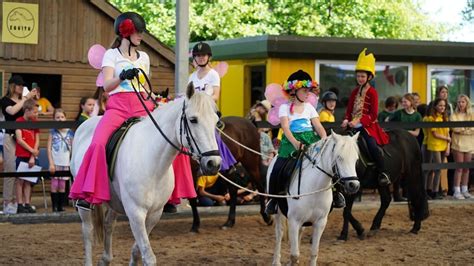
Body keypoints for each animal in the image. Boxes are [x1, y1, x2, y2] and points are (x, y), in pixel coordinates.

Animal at [69, 84, 221, 264]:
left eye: (216, 121)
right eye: (193, 120)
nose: (214, 163)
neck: (153, 163)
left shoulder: (154, 214)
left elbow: (137, 250)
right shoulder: (136, 213)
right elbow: (148, 257)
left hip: (114, 201)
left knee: (108, 225)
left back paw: (105, 259)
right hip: (84, 202)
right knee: (88, 231)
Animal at [270, 132, 360, 264]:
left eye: (356, 159)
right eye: (339, 157)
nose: (354, 185)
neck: (314, 188)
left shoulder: (320, 222)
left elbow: (314, 252)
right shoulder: (293, 221)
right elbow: (294, 255)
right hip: (278, 213)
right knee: (279, 233)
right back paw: (276, 261)